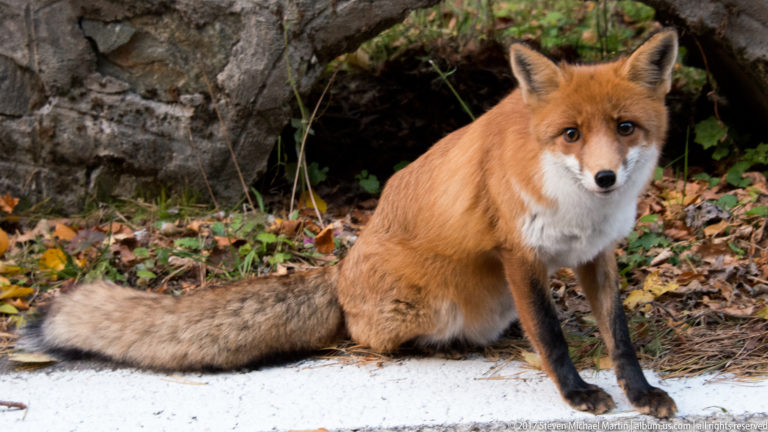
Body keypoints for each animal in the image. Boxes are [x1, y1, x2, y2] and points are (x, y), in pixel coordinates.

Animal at [20, 29, 679, 418]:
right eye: (570, 134)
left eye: (624, 128)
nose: (605, 178)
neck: (581, 210)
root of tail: (338, 272)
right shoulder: (519, 254)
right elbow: (554, 335)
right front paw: (575, 393)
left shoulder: (596, 254)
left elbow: (619, 336)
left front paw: (641, 393)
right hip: (438, 301)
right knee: (372, 338)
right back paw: (443, 347)